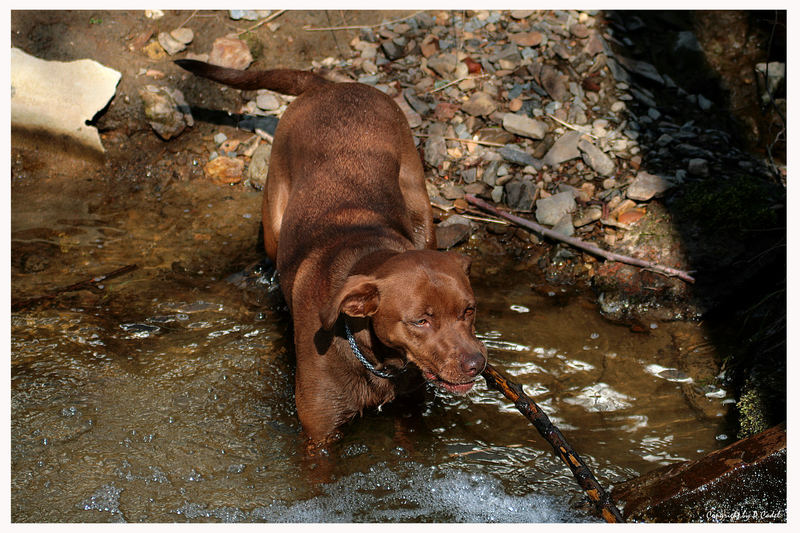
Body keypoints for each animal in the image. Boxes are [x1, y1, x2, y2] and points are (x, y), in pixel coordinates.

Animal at [177, 59, 488, 444]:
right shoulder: (319, 434)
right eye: (421, 321)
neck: (376, 358)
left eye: (469, 311)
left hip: (421, 210)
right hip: (273, 220)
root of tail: (330, 86)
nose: (477, 363)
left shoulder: (411, 412)